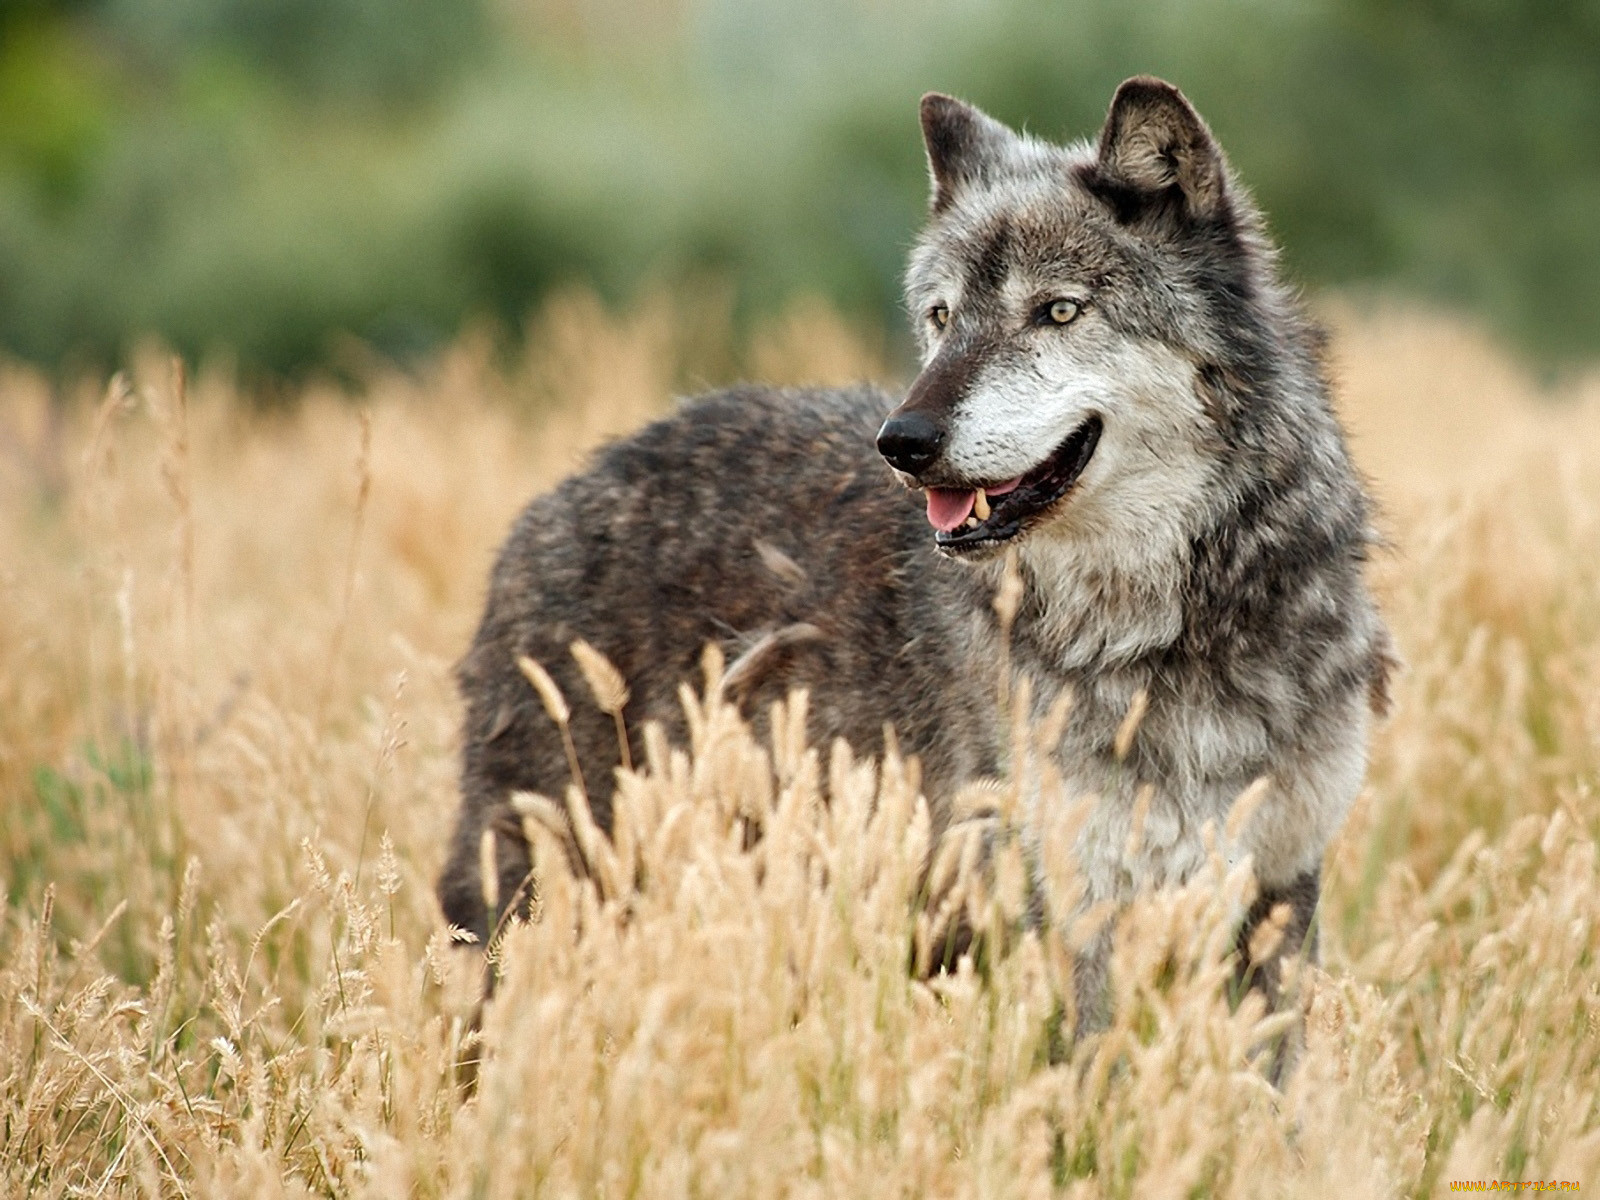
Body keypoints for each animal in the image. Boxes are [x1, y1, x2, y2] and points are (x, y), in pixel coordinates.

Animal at [435, 77, 1388, 1024]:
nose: (903, 441)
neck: (1164, 629)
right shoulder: (1069, 905)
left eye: (1059, 311)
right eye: (941, 316)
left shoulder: (1277, 889)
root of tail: (563, 492)